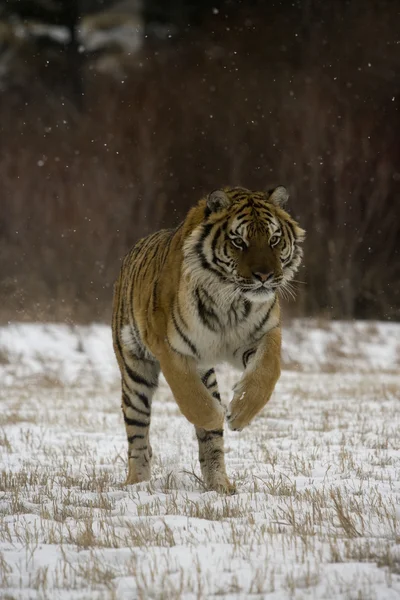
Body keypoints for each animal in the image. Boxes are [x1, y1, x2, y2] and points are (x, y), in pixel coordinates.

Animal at [111, 186, 304, 492]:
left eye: (274, 239)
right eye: (239, 241)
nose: (265, 276)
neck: (230, 299)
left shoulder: (263, 334)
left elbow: (267, 372)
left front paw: (238, 414)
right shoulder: (168, 347)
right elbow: (190, 395)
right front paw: (215, 416)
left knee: (210, 445)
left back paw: (220, 484)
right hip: (135, 371)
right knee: (138, 433)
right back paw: (137, 483)